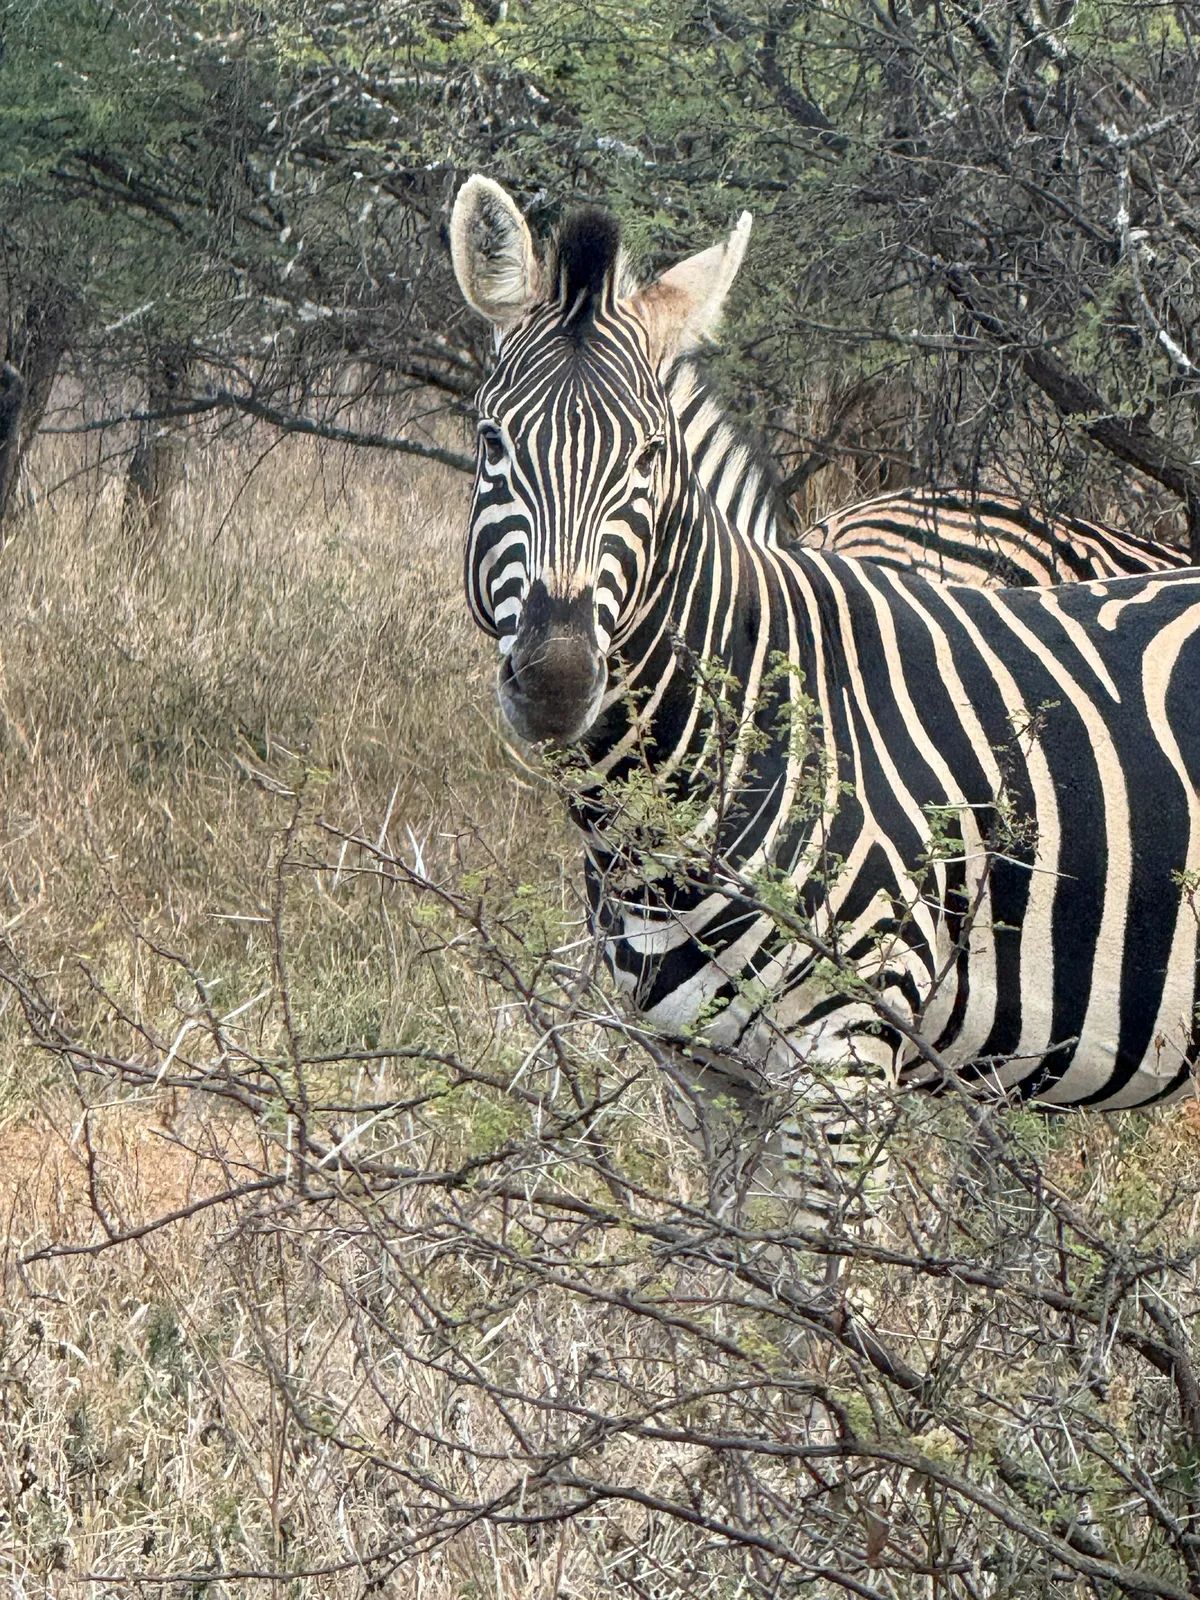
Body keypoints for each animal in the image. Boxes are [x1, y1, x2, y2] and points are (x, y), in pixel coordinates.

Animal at [449, 176, 1200, 1219]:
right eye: (491, 441)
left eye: (649, 456)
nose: (557, 679)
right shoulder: (706, 1076)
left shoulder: (845, 1060)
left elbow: (828, 1267)